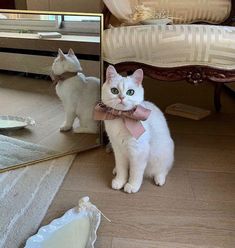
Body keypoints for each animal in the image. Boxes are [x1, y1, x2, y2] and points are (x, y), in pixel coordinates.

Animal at [102, 66, 173, 194]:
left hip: (162, 155)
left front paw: (132, 186)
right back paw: (115, 170)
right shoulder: (118, 150)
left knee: (162, 170)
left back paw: (159, 179)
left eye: (130, 92)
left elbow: (135, 173)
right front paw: (119, 181)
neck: (122, 118)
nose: (121, 97)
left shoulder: (138, 152)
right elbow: (122, 169)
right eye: (114, 91)